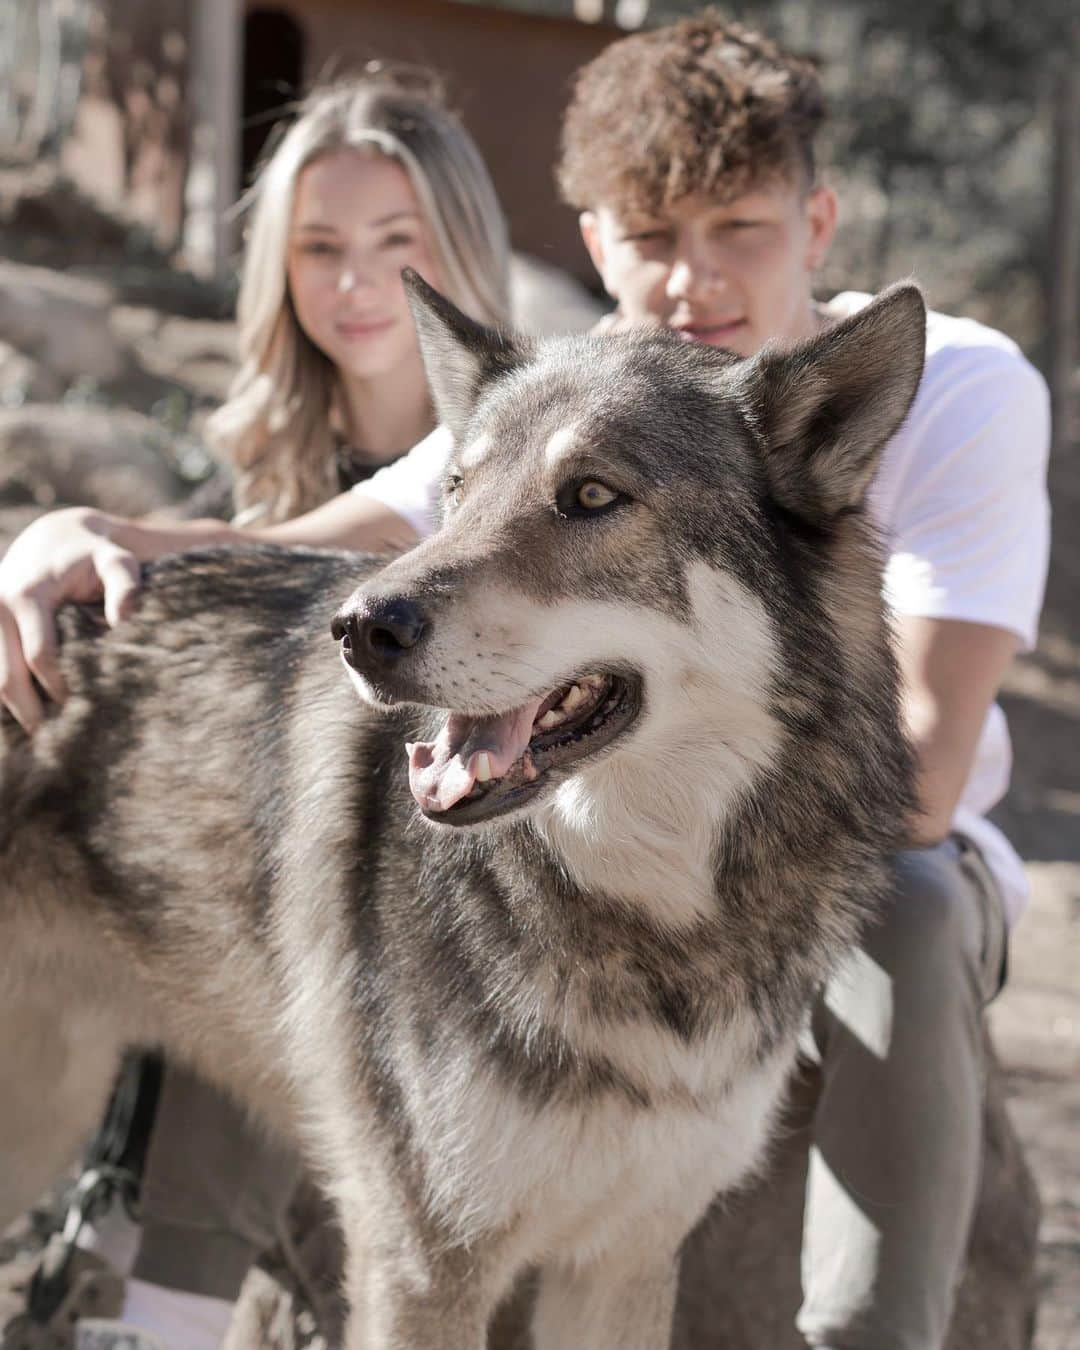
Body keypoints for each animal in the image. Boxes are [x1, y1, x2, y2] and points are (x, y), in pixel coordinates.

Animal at [2, 276, 918, 1350]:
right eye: (455, 492)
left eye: (592, 496)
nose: (361, 626)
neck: (656, 932)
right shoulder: (420, 1259)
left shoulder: (627, 1259)